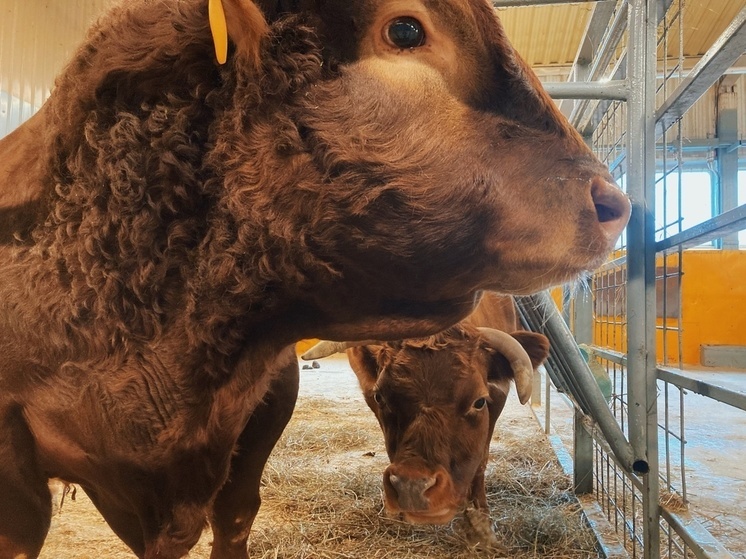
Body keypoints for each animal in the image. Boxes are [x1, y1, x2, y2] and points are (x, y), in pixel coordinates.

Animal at [302, 296, 548, 548]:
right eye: (381, 397)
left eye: (479, 401)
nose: (412, 487)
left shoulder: (498, 397)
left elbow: (481, 460)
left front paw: (481, 523)